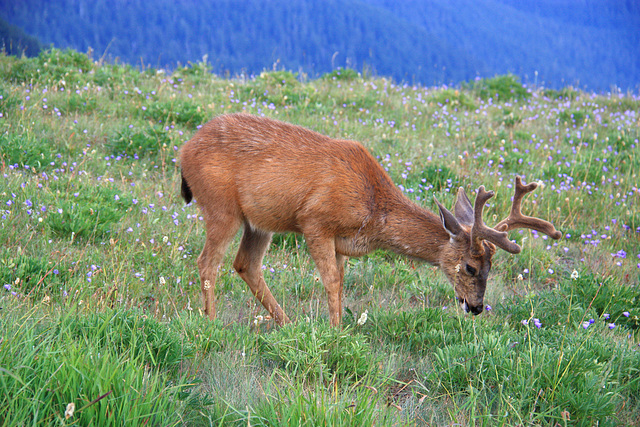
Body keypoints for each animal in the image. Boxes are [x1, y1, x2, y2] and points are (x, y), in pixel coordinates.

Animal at [179, 113, 560, 328]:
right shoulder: (314, 221)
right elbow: (332, 281)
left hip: (259, 222)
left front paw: (338, 327)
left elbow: (341, 282)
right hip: (221, 208)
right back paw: (211, 324)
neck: (374, 210)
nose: (477, 307)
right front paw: (335, 332)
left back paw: (286, 323)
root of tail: (184, 151)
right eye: (470, 266)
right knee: (207, 262)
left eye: (491, 267)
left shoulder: (340, 243)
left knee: (246, 264)